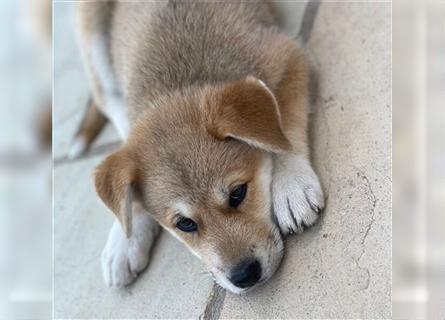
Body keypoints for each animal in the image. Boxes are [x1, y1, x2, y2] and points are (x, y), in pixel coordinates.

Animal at [73, 1, 322, 294]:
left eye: (238, 193)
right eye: (185, 224)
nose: (244, 275)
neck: (174, 83)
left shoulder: (287, 54)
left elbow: (284, 131)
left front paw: (291, 185)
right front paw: (128, 233)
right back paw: (123, 240)